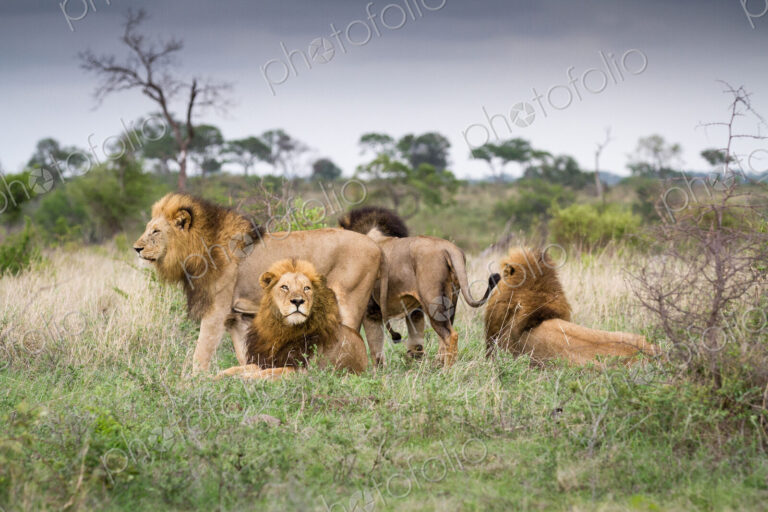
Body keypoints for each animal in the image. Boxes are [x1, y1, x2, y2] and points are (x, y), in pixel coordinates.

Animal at [216, 259, 367, 380]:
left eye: (306, 288)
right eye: (284, 287)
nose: (298, 301)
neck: (282, 331)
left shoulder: (302, 370)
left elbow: (269, 372)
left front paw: (245, 378)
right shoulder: (265, 360)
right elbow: (237, 368)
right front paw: (215, 376)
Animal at [339, 206, 498, 367]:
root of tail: (449, 248)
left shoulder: (370, 310)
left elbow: (372, 346)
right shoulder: (414, 311)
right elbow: (415, 343)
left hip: (433, 303)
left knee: (450, 335)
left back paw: (447, 369)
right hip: (451, 301)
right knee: (444, 337)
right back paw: (438, 364)